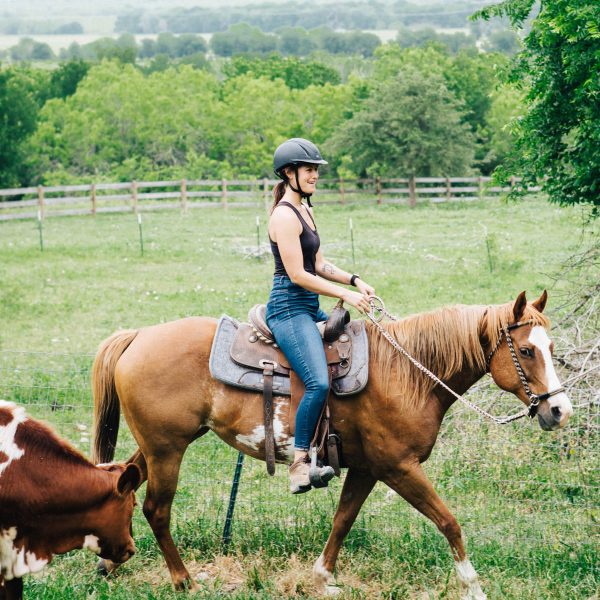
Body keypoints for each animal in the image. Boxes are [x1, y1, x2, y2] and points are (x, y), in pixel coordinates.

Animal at [89, 288, 572, 596]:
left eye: (550, 347)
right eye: (526, 351)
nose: (560, 410)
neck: (407, 373)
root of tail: (138, 335)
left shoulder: (367, 469)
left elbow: (342, 520)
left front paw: (323, 577)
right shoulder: (399, 467)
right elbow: (448, 521)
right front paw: (472, 586)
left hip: (159, 446)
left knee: (126, 482)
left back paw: (109, 561)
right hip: (168, 449)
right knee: (157, 509)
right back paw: (182, 579)